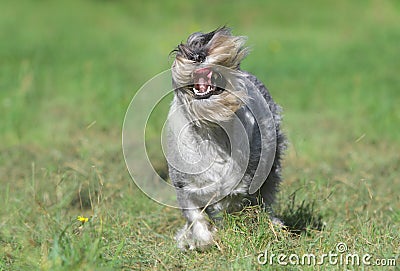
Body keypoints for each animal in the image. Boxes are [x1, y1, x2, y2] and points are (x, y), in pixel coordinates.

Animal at [167, 26, 286, 252]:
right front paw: (201, 240)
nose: (198, 55)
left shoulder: (244, 181)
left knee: (267, 198)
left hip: (271, 165)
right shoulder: (184, 188)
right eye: (184, 48)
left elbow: (235, 199)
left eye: (205, 40)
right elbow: (196, 218)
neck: (211, 128)